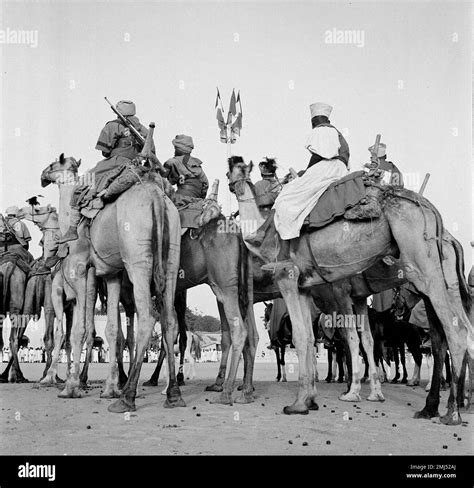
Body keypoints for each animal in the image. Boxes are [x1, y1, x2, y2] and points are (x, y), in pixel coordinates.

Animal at [228, 157, 472, 424]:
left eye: (235, 170)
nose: (232, 184)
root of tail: (433, 214)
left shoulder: (306, 282)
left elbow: (332, 339)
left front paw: (312, 400)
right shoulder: (322, 290)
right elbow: (349, 339)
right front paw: (323, 397)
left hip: (423, 268)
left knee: (454, 333)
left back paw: (452, 411)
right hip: (442, 281)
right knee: (452, 334)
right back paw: (437, 406)